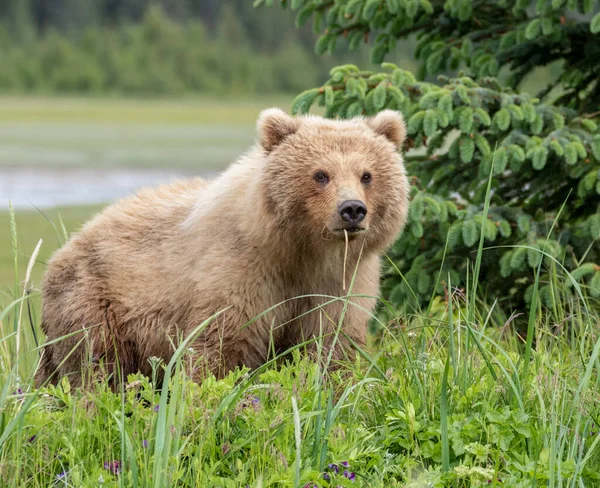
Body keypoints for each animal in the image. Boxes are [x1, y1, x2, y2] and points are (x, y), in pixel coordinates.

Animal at [36, 108, 408, 386]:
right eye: (320, 174)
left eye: (367, 175)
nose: (352, 210)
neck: (302, 253)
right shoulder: (242, 272)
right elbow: (222, 348)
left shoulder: (339, 283)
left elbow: (329, 345)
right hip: (97, 303)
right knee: (95, 368)